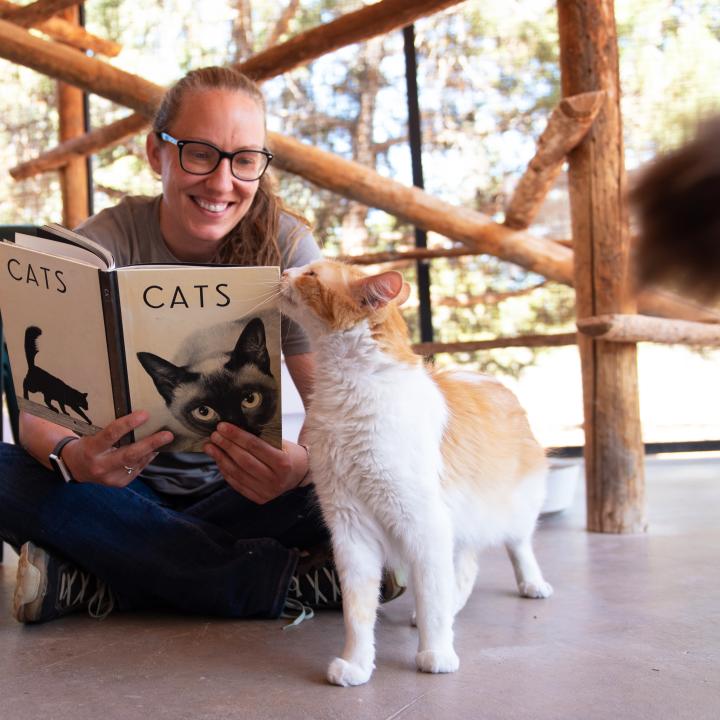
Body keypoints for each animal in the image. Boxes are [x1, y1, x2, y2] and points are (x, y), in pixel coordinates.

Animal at [280, 260, 552, 688]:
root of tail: (489, 378)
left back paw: (532, 584)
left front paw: (436, 653)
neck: (348, 393)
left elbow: (431, 605)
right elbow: (359, 614)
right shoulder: (351, 532)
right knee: (465, 569)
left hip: (512, 509)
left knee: (518, 546)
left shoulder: (423, 525)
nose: (284, 271)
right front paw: (357, 665)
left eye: (310, 274)